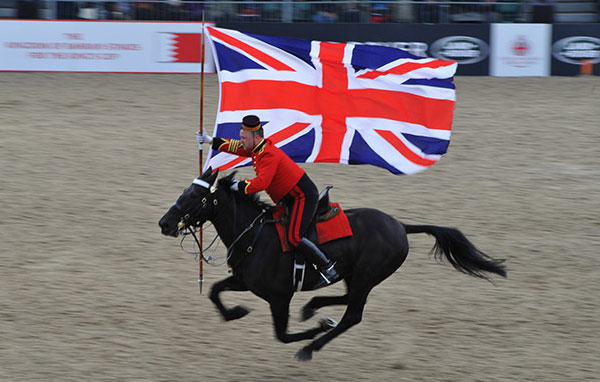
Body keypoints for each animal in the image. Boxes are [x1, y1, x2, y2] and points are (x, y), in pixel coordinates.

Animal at [158, 169, 506, 362]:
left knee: (352, 314)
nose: (165, 223)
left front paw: (313, 332)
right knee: (345, 298)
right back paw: (313, 307)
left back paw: (312, 344)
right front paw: (236, 312)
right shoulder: (245, 282)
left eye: (195, 198)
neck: (254, 233)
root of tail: (400, 225)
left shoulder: (278, 297)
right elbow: (215, 291)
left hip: (367, 275)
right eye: (184, 191)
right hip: (356, 274)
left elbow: (282, 335)